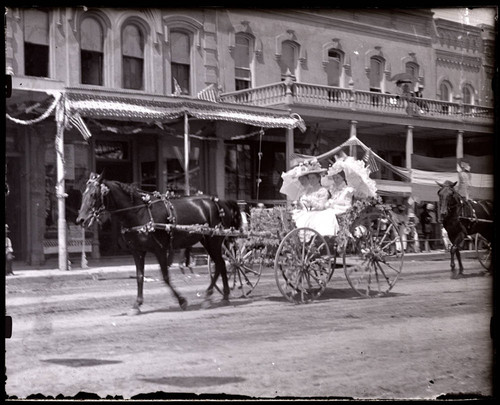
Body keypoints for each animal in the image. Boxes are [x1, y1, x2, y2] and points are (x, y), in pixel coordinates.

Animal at [74, 172, 244, 310]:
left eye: (94, 195)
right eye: (83, 194)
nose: (80, 219)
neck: (139, 212)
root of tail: (220, 201)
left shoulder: (160, 249)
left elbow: (165, 277)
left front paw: (182, 300)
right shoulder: (137, 251)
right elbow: (140, 276)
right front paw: (137, 304)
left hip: (214, 240)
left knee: (220, 264)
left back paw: (209, 296)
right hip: (206, 241)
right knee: (221, 265)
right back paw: (224, 296)